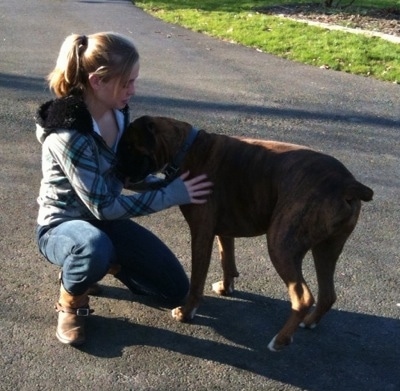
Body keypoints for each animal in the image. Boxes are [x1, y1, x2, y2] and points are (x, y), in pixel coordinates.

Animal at [117, 116, 374, 352]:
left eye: (129, 146)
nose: (114, 169)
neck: (186, 147)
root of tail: (347, 183)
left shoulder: (201, 233)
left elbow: (197, 278)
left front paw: (188, 312)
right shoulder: (222, 231)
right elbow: (227, 260)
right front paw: (225, 287)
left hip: (281, 244)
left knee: (303, 297)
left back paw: (280, 340)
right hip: (327, 249)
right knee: (328, 293)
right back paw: (309, 322)